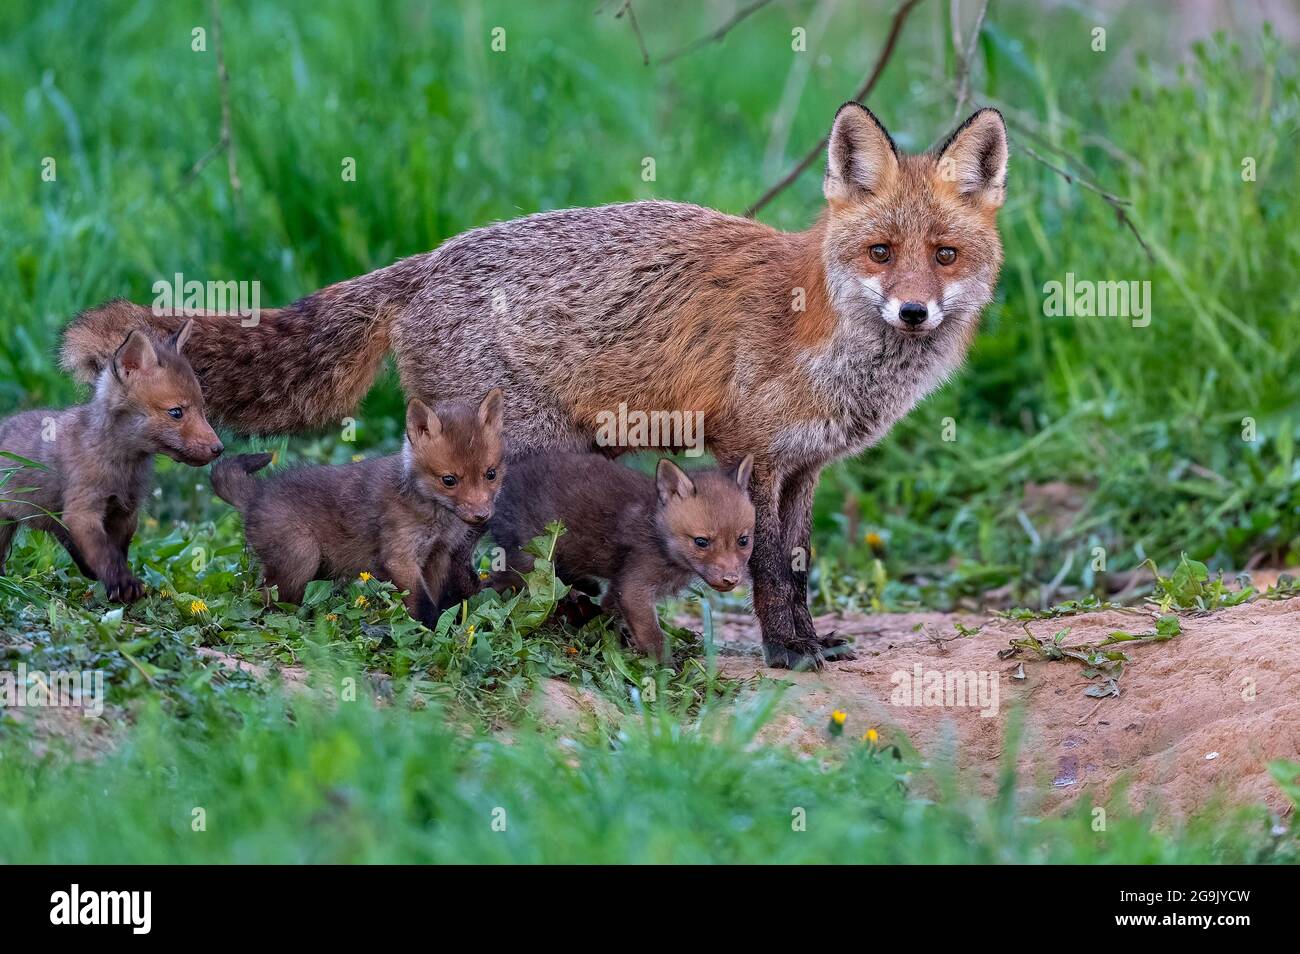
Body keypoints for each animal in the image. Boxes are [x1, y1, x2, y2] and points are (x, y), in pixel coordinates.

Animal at [61, 104, 1008, 670]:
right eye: (881, 252)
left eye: (945, 255)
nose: (915, 311)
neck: (830, 342)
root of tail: (427, 259)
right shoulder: (753, 454)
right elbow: (772, 568)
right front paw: (788, 655)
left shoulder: (805, 467)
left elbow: (800, 566)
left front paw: (810, 641)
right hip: (527, 458)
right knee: (494, 563)